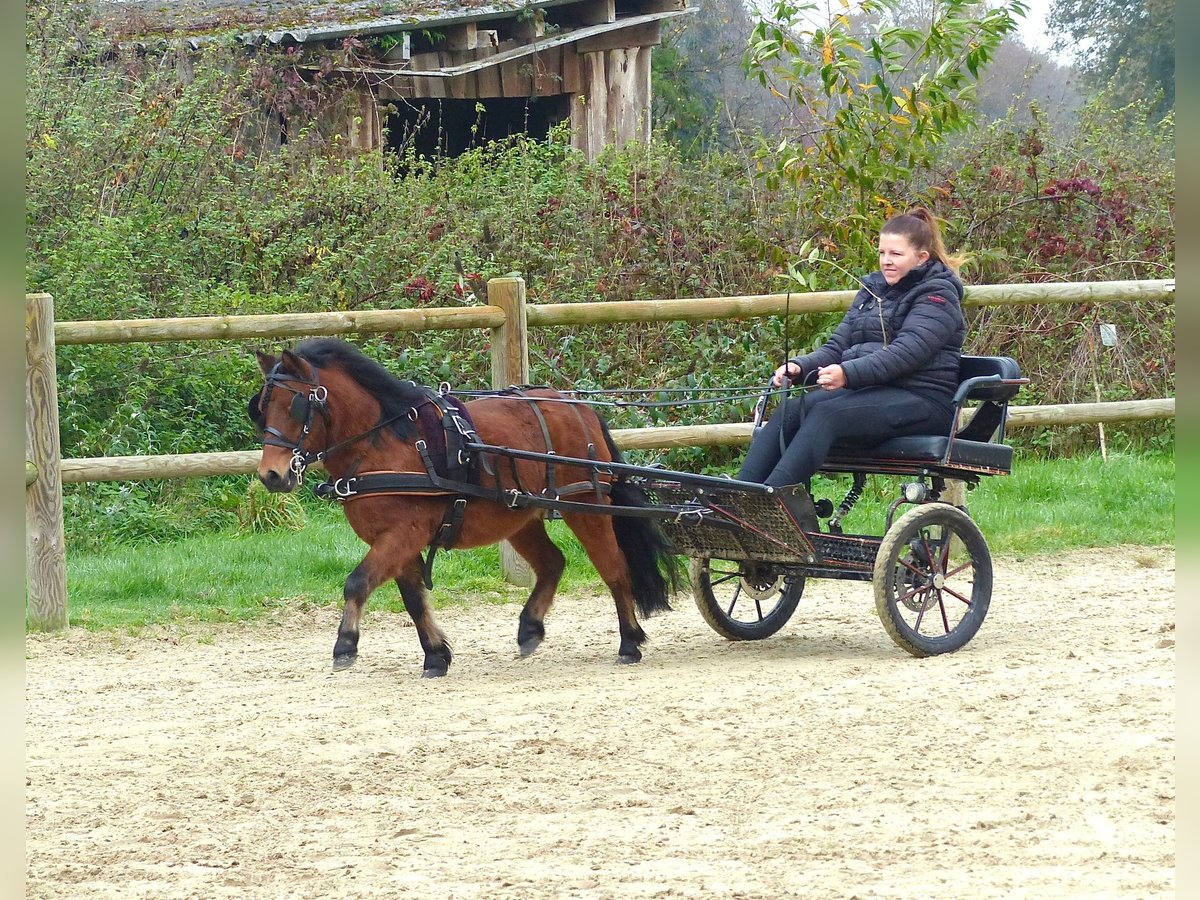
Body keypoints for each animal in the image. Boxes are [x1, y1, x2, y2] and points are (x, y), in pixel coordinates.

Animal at [248, 338, 681, 676]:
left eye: (295, 406)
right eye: (262, 408)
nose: (272, 475)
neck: (383, 444)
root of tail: (580, 408)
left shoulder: (402, 534)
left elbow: (357, 582)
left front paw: (345, 646)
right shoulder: (399, 541)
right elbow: (412, 599)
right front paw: (436, 656)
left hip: (585, 504)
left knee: (614, 568)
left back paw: (629, 642)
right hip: (519, 516)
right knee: (553, 563)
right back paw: (530, 629)